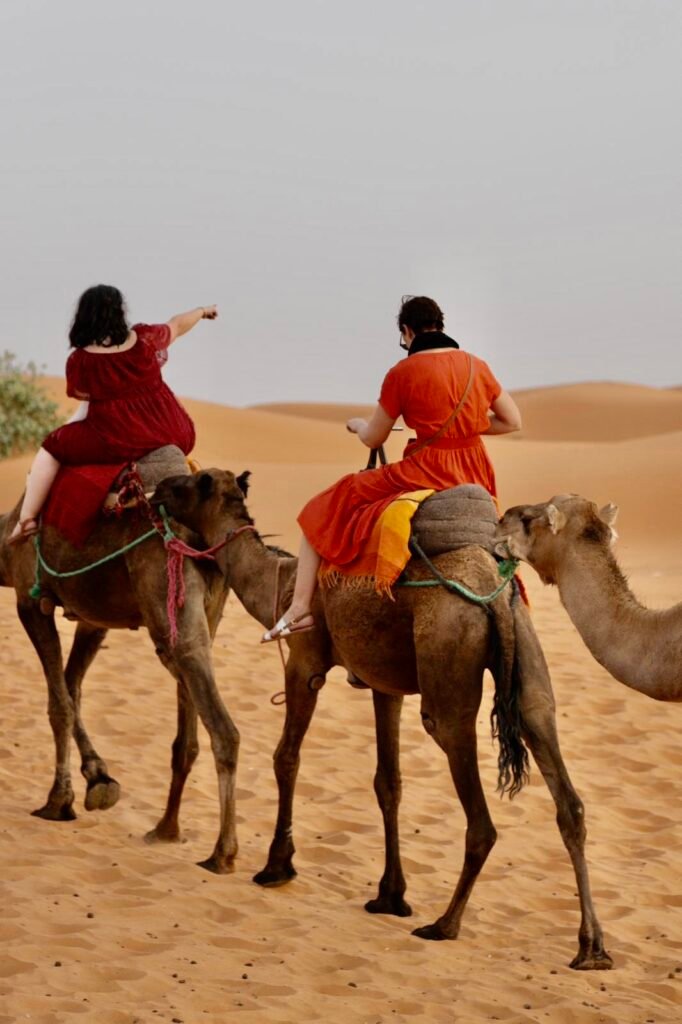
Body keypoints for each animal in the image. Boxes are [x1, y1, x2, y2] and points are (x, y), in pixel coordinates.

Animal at [0, 494, 241, 873]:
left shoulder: (30, 600)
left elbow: (60, 704)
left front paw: (59, 801)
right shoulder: (92, 618)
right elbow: (71, 689)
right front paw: (98, 779)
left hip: (170, 603)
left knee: (221, 727)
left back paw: (222, 853)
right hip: (203, 615)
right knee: (189, 731)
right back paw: (167, 829)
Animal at [152, 468, 612, 969]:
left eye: (192, 483)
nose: (157, 490)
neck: (278, 581)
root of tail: (494, 596)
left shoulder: (305, 662)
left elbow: (286, 758)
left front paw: (276, 864)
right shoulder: (384, 686)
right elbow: (388, 783)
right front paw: (390, 894)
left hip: (447, 667)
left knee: (479, 814)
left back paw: (444, 924)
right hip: (528, 664)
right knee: (565, 793)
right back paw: (592, 948)